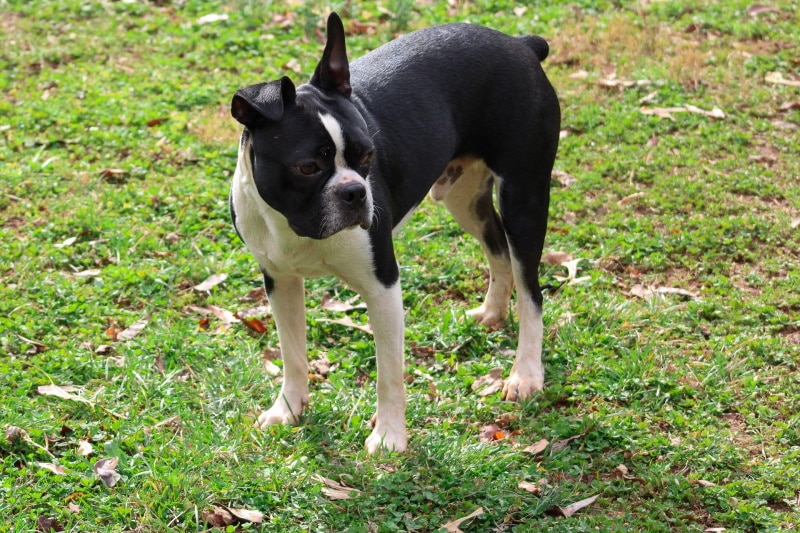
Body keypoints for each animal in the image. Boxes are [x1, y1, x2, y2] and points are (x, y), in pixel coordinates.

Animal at [228, 12, 560, 454]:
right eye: (307, 167)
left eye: (369, 156)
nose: (355, 191)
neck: (297, 227)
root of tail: (520, 44)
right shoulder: (280, 281)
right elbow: (292, 352)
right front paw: (288, 410)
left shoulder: (382, 286)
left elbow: (389, 372)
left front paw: (388, 435)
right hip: (463, 198)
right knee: (497, 248)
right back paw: (491, 313)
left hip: (523, 198)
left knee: (531, 290)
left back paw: (525, 374)